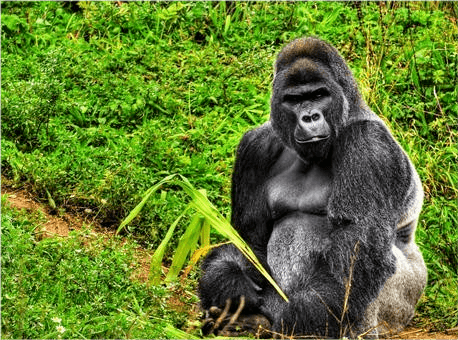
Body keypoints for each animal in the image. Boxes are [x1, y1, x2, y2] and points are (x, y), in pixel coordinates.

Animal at [199, 35, 428, 338]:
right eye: (294, 100)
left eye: (319, 95)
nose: (309, 117)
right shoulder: (255, 147)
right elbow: (248, 238)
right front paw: (228, 283)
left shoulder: (369, 144)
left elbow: (356, 246)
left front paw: (292, 320)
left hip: (403, 307)